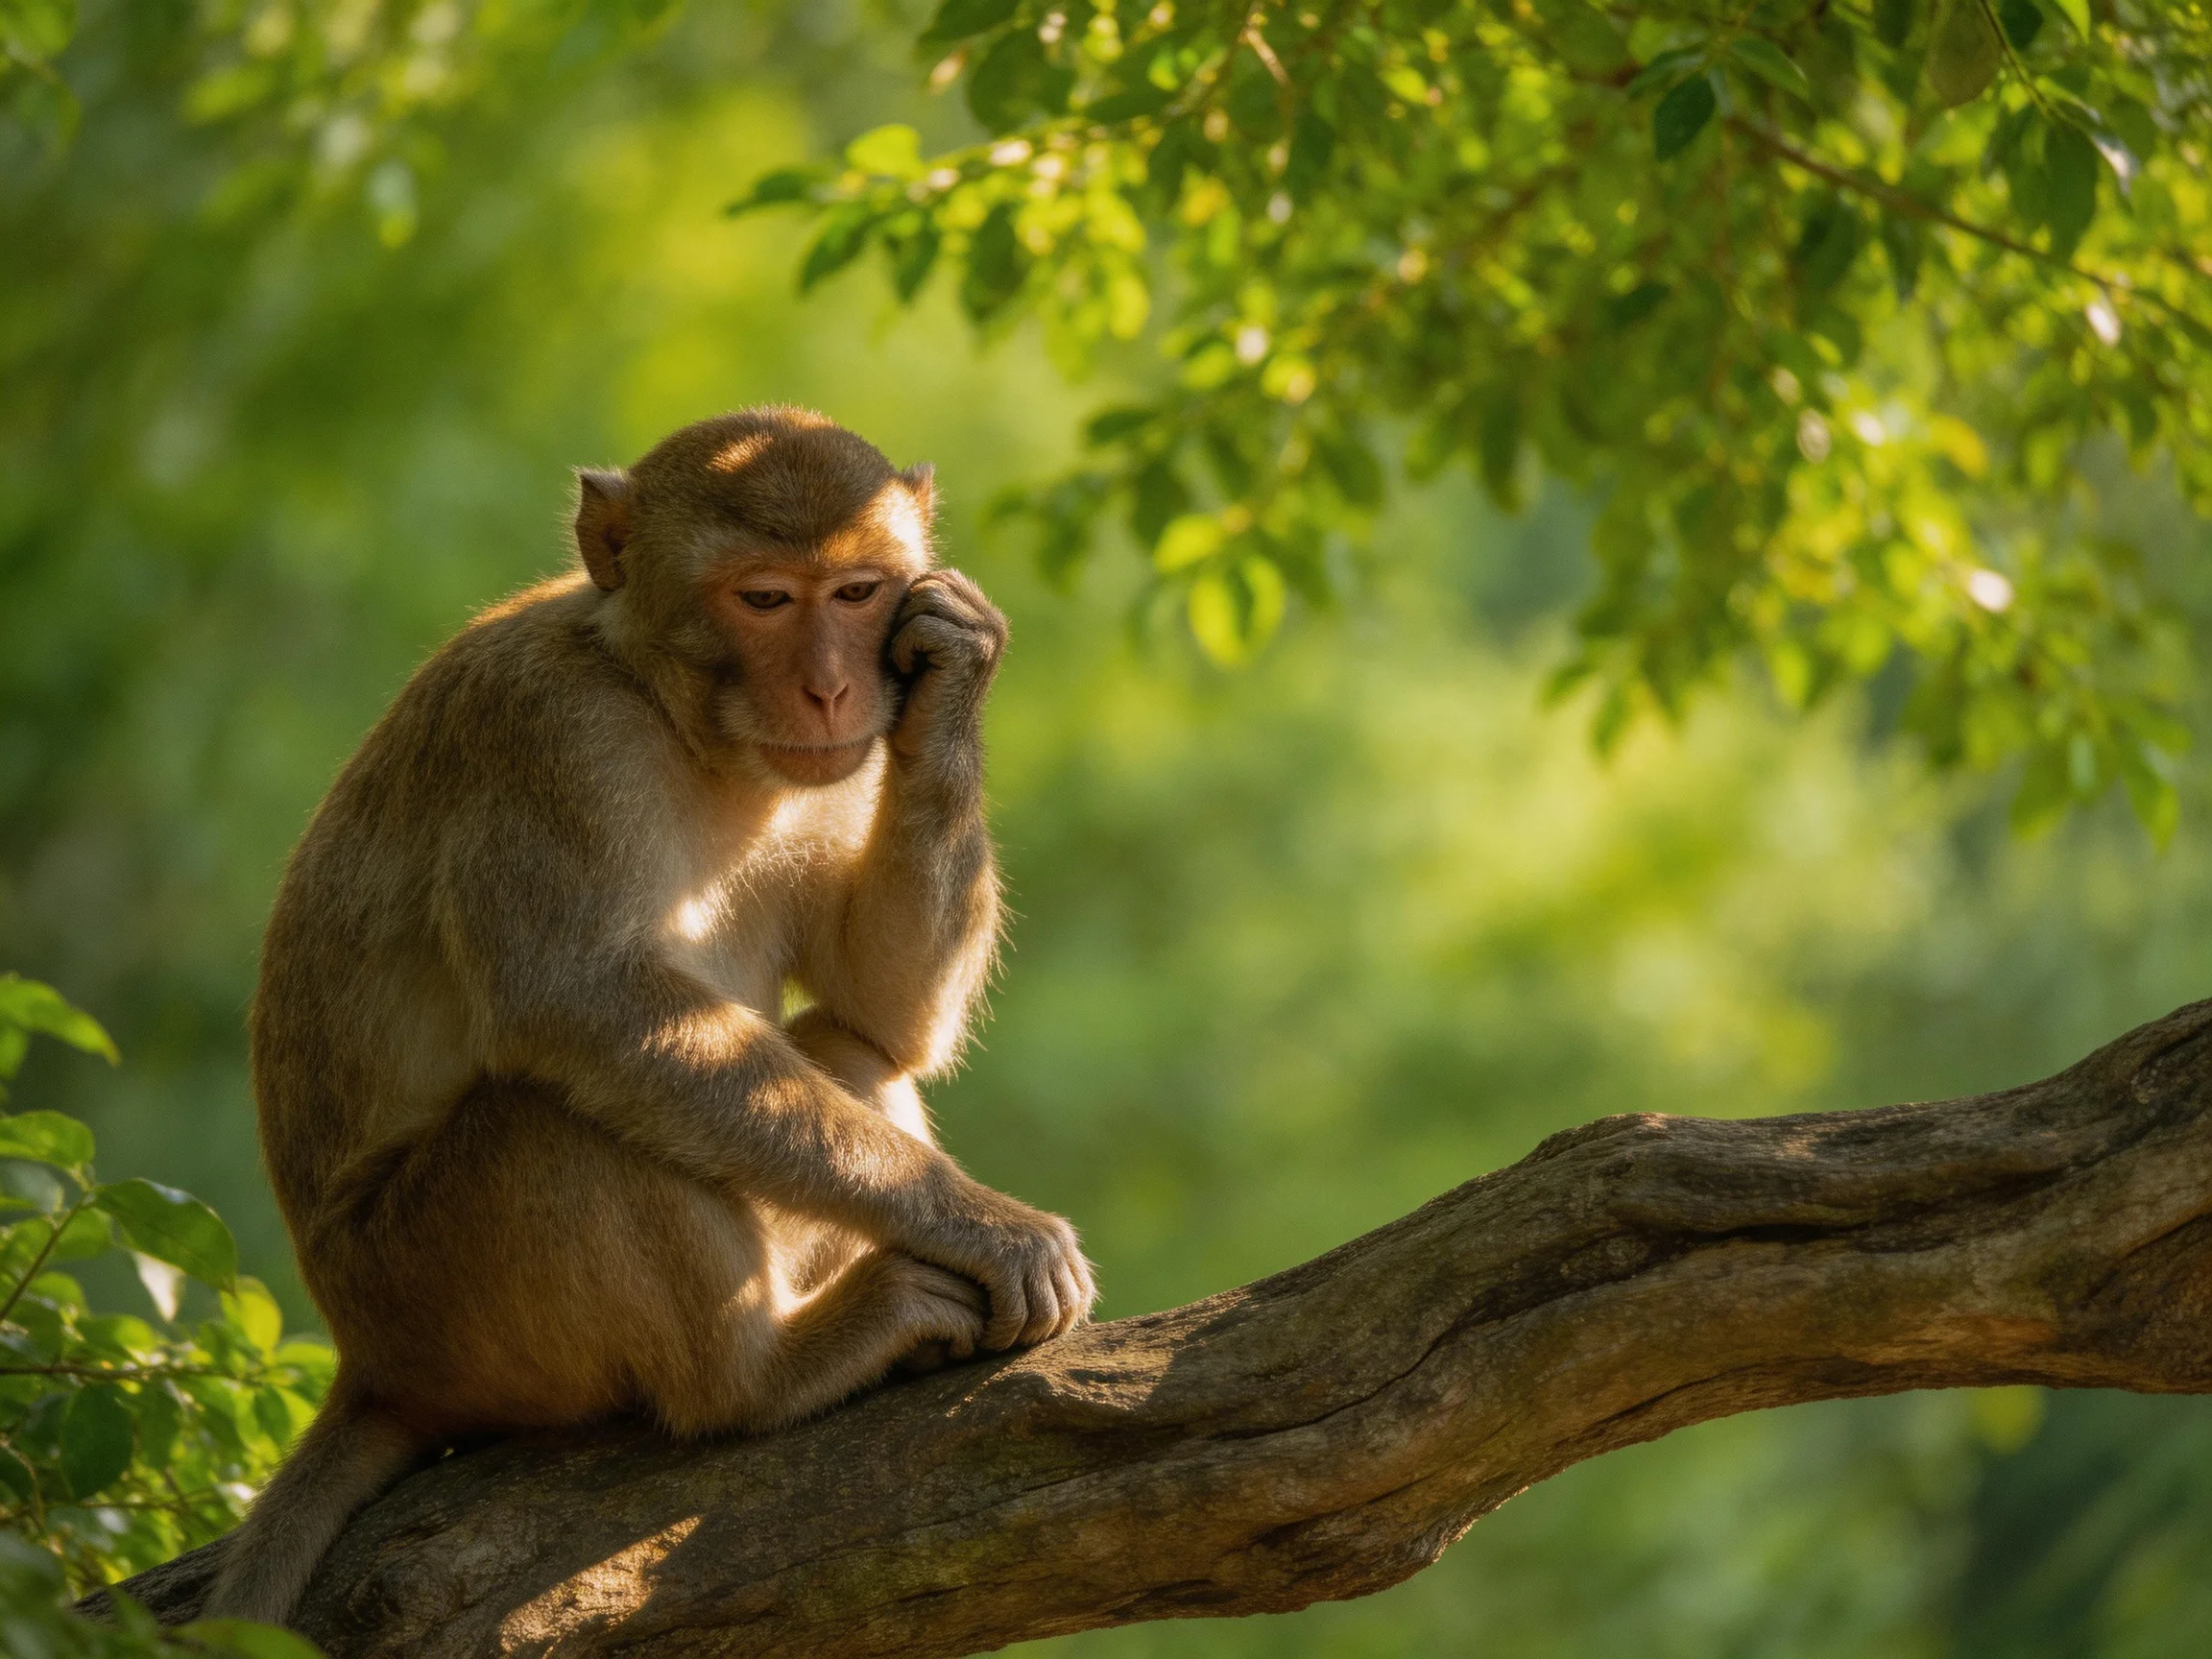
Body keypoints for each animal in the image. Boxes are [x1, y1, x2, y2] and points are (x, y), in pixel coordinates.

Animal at [203, 407, 1097, 1626]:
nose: (830, 691)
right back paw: (759, 1378)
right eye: (764, 598)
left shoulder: (836, 768)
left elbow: (883, 1003)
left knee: (851, 1051)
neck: (669, 710)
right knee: (563, 1115)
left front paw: (959, 661)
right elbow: (588, 1005)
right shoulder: (548, 736)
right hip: (433, 1296)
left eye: (858, 592)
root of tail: (367, 1361)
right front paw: (994, 1228)